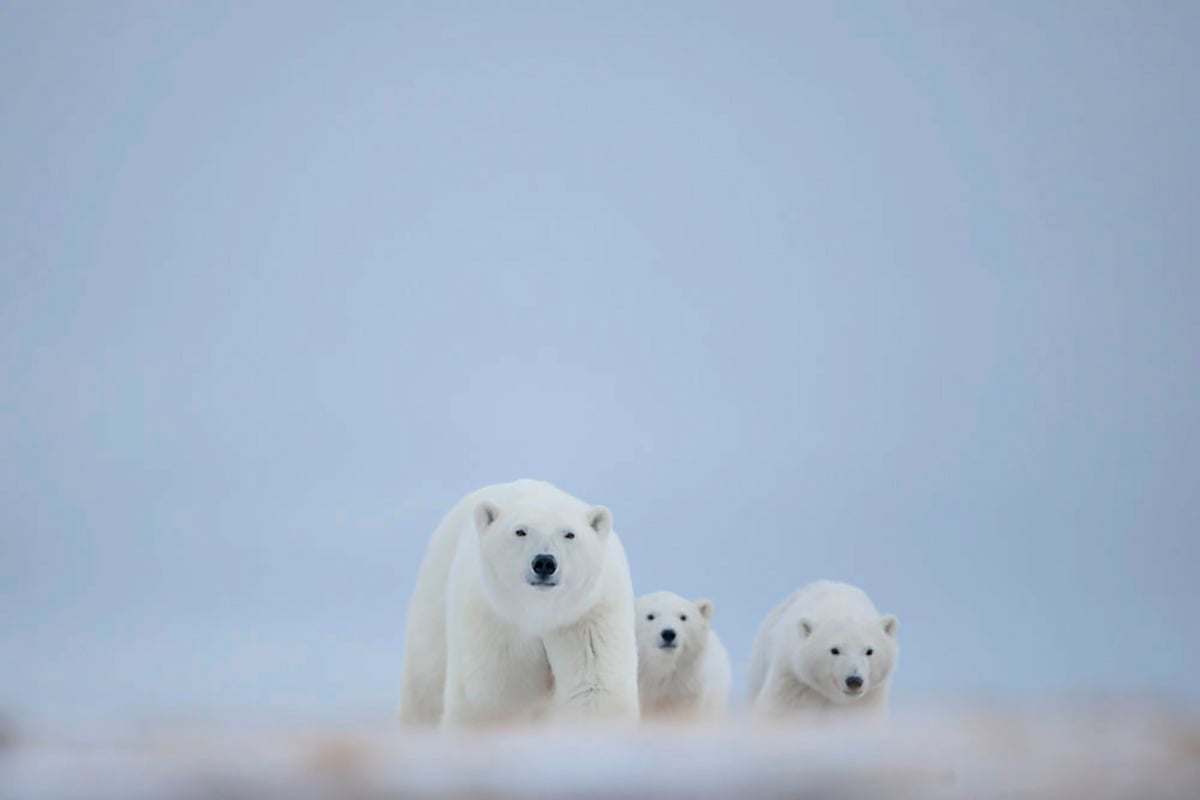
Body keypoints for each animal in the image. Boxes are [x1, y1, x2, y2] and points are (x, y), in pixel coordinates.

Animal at [396, 479, 643, 729]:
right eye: (520, 531)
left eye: (570, 534)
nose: (544, 562)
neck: (539, 613)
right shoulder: (493, 620)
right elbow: (494, 695)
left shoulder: (587, 615)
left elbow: (594, 688)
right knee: (425, 680)